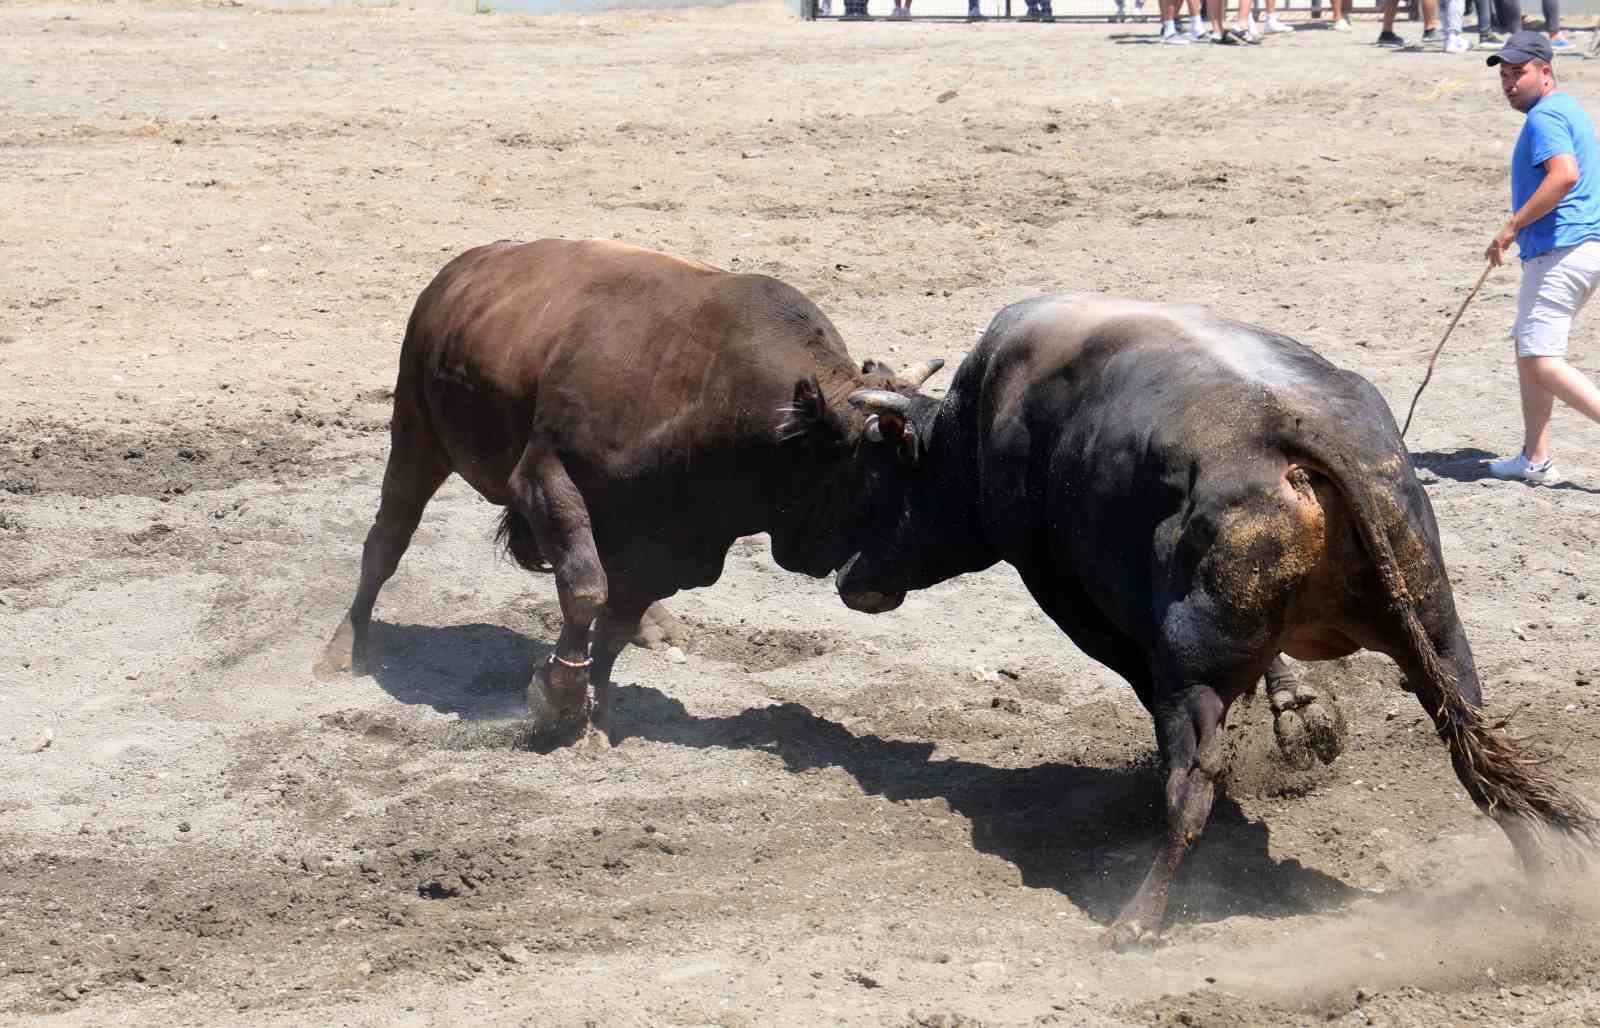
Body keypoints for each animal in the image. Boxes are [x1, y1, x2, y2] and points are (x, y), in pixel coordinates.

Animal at [844, 294, 1593, 947]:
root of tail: (1291, 431)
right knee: (1470, 748)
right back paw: (1537, 880)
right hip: (1436, 633)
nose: (850, 579)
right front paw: (1302, 713)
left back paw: (1137, 921)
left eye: (881, 480)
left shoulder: (1071, 598)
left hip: (1195, 675)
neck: (982, 418)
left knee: (1192, 786)